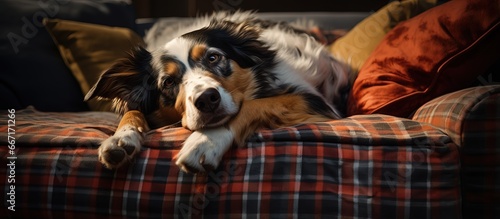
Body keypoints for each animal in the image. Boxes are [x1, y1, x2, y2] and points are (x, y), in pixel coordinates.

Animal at [86, 11, 350, 173]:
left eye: (213, 58)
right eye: (168, 82)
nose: (207, 100)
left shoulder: (314, 100)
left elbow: (250, 105)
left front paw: (205, 141)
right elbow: (131, 113)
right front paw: (121, 138)